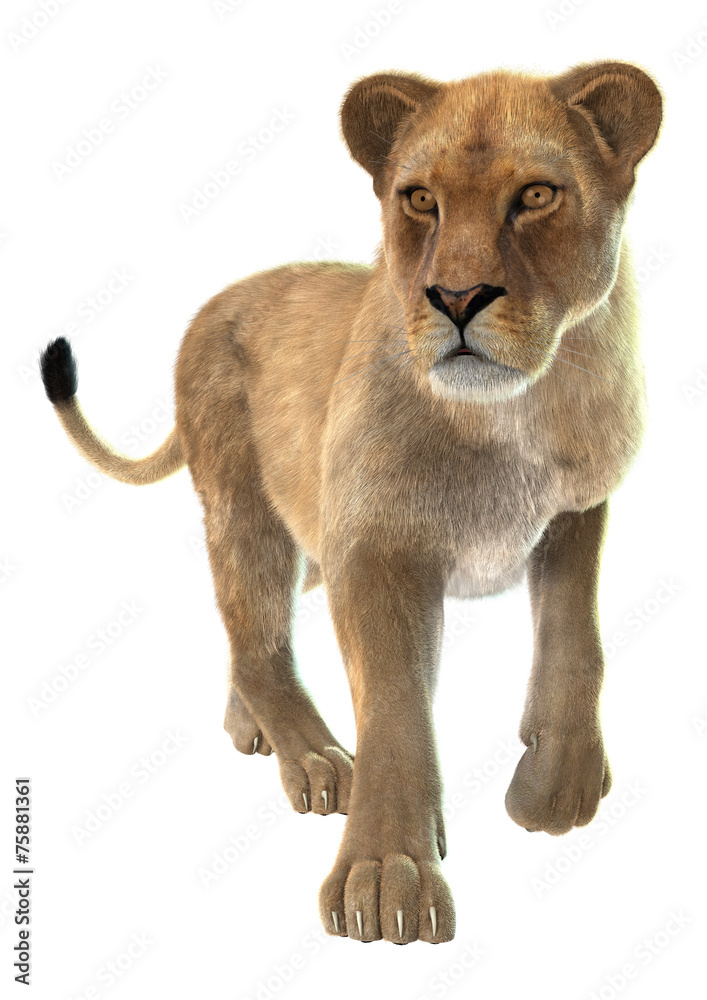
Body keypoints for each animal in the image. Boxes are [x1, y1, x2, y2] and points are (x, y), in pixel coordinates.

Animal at [40, 59, 662, 944]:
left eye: (537, 195)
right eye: (419, 199)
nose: (457, 297)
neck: (512, 417)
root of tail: (214, 304)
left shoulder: (573, 511)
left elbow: (577, 642)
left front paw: (557, 789)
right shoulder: (374, 547)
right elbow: (396, 708)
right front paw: (385, 878)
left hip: (307, 538)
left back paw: (249, 728)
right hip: (248, 510)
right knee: (256, 639)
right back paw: (312, 759)